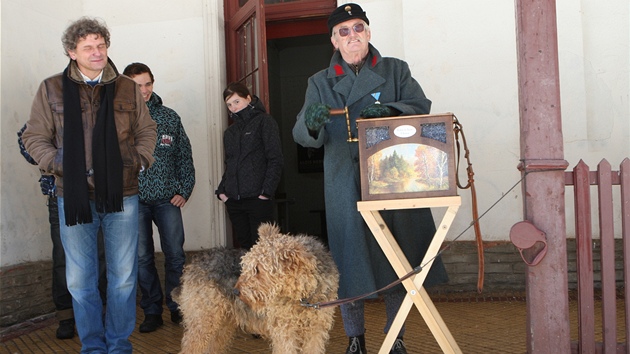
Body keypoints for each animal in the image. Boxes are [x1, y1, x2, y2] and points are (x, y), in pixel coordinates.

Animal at [173, 224, 340, 354]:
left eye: (258, 269)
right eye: (245, 265)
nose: (236, 292)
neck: (304, 297)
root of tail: (194, 262)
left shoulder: (316, 331)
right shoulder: (285, 333)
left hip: (222, 324)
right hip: (202, 321)